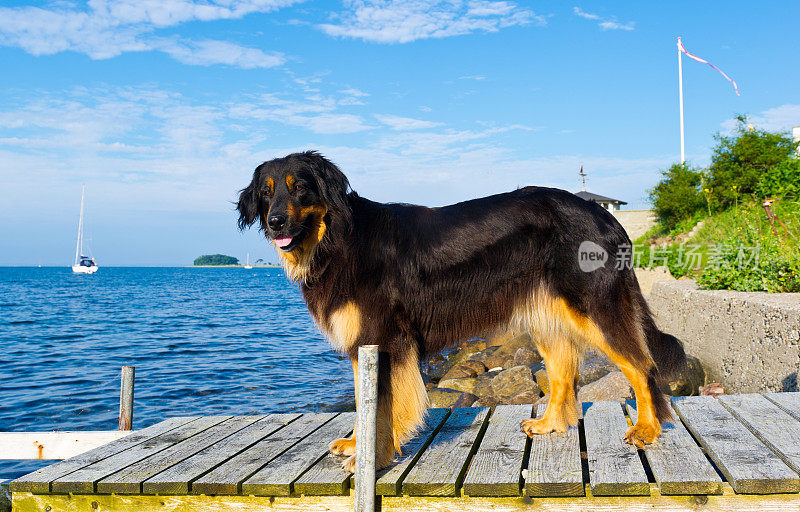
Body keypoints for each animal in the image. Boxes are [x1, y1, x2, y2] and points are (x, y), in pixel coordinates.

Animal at [234, 149, 684, 472]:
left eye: (299, 188)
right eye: (266, 192)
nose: (275, 222)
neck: (337, 238)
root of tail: (606, 218)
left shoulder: (384, 338)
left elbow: (380, 406)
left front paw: (374, 458)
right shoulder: (365, 345)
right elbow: (366, 402)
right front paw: (359, 445)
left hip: (594, 307)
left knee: (640, 365)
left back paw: (647, 428)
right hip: (546, 315)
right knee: (563, 372)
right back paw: (550, 424)